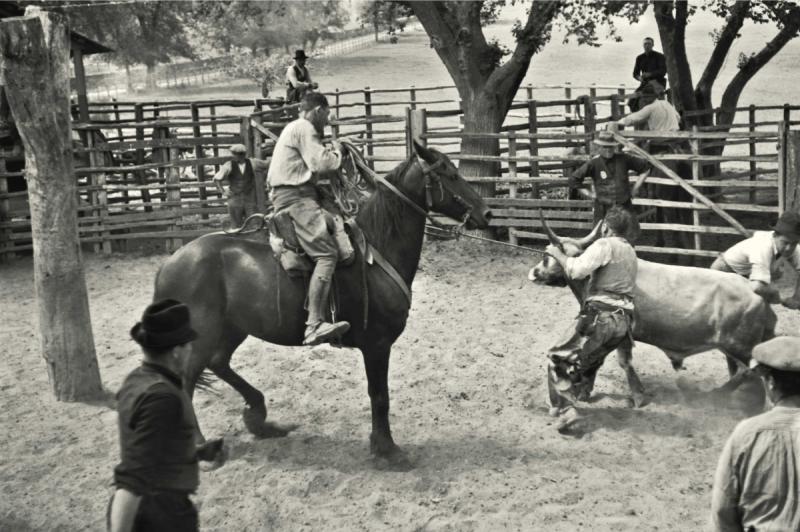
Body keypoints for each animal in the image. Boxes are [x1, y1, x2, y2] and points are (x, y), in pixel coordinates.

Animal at [149, 142, 488, 470]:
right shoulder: (377, 345)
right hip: (204, 335)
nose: (486, 212)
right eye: (450, 174)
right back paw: (202, 448)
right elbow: (380, 396)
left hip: (233, 329)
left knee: (219, 362)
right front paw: (388, 450)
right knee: (187, 381)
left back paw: (260, 420)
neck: (377, 251)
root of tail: (169, 265)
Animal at [532, 218, 776, 406]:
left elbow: (620, 362)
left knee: (751, 372)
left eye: (545, 257)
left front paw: (636, 396)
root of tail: (756, 293)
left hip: (740, 347)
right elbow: (597, 361)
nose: (533, 272)